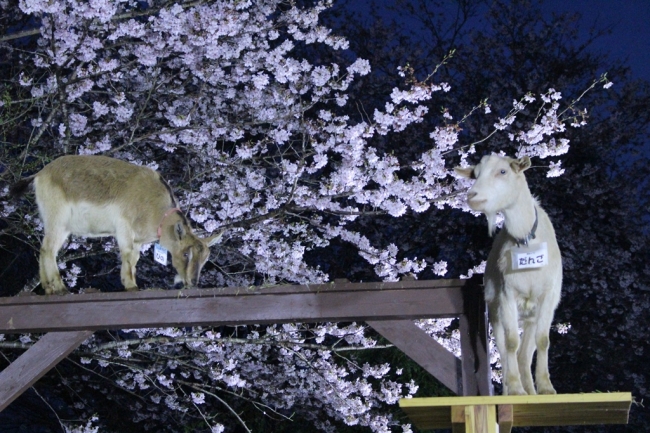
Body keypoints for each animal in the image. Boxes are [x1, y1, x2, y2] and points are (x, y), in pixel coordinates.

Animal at [9, 155, 223, 294]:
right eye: (186, 254)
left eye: (205, 258)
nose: (192, 281)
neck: (155, 205)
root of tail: (40, 174)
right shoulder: (124, 228)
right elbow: (127, 255)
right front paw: (131, 285)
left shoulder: (137, 240)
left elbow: (134, 259)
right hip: (58, 219)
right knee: (48, 249)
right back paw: (60, 288)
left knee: (43, 249)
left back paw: (48, 288)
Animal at [454, 155, 560, 394]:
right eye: (475, 174)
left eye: (502, 171)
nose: (472, 196)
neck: (527, 240)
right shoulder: (506, 295)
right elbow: (511, 343)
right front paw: (516, 389)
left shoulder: (548, 296)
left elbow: (543, 340)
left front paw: (546, 388)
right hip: (495, 310)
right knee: (506, 350)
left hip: (531, 315)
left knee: (525, 354)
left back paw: (531, 390)